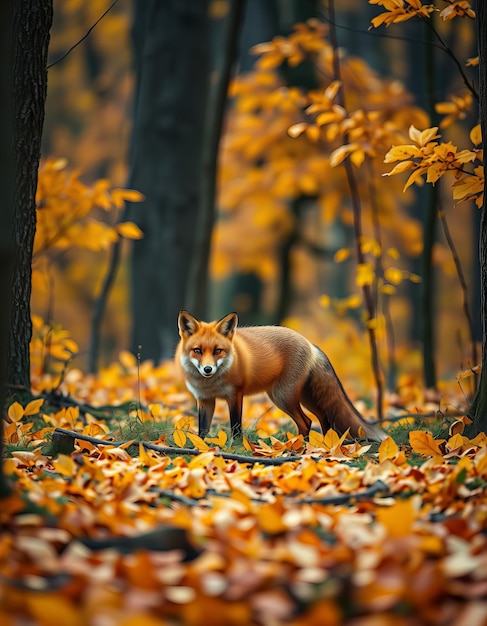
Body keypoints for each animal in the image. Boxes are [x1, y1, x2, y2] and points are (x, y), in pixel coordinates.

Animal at [175, 310, 388, 442]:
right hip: (306, 398)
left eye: (218, 351)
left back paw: (300, 448)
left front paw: (235, 447)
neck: (212, 384)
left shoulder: (235, 395)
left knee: (307, 422)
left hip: (283, 397)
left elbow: (235, 426)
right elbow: (203, 429)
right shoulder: (205, 400)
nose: (207, 369)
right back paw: (327, 445)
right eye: (197, 351)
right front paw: (201, 448)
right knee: (323, 417)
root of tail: (310, 343)